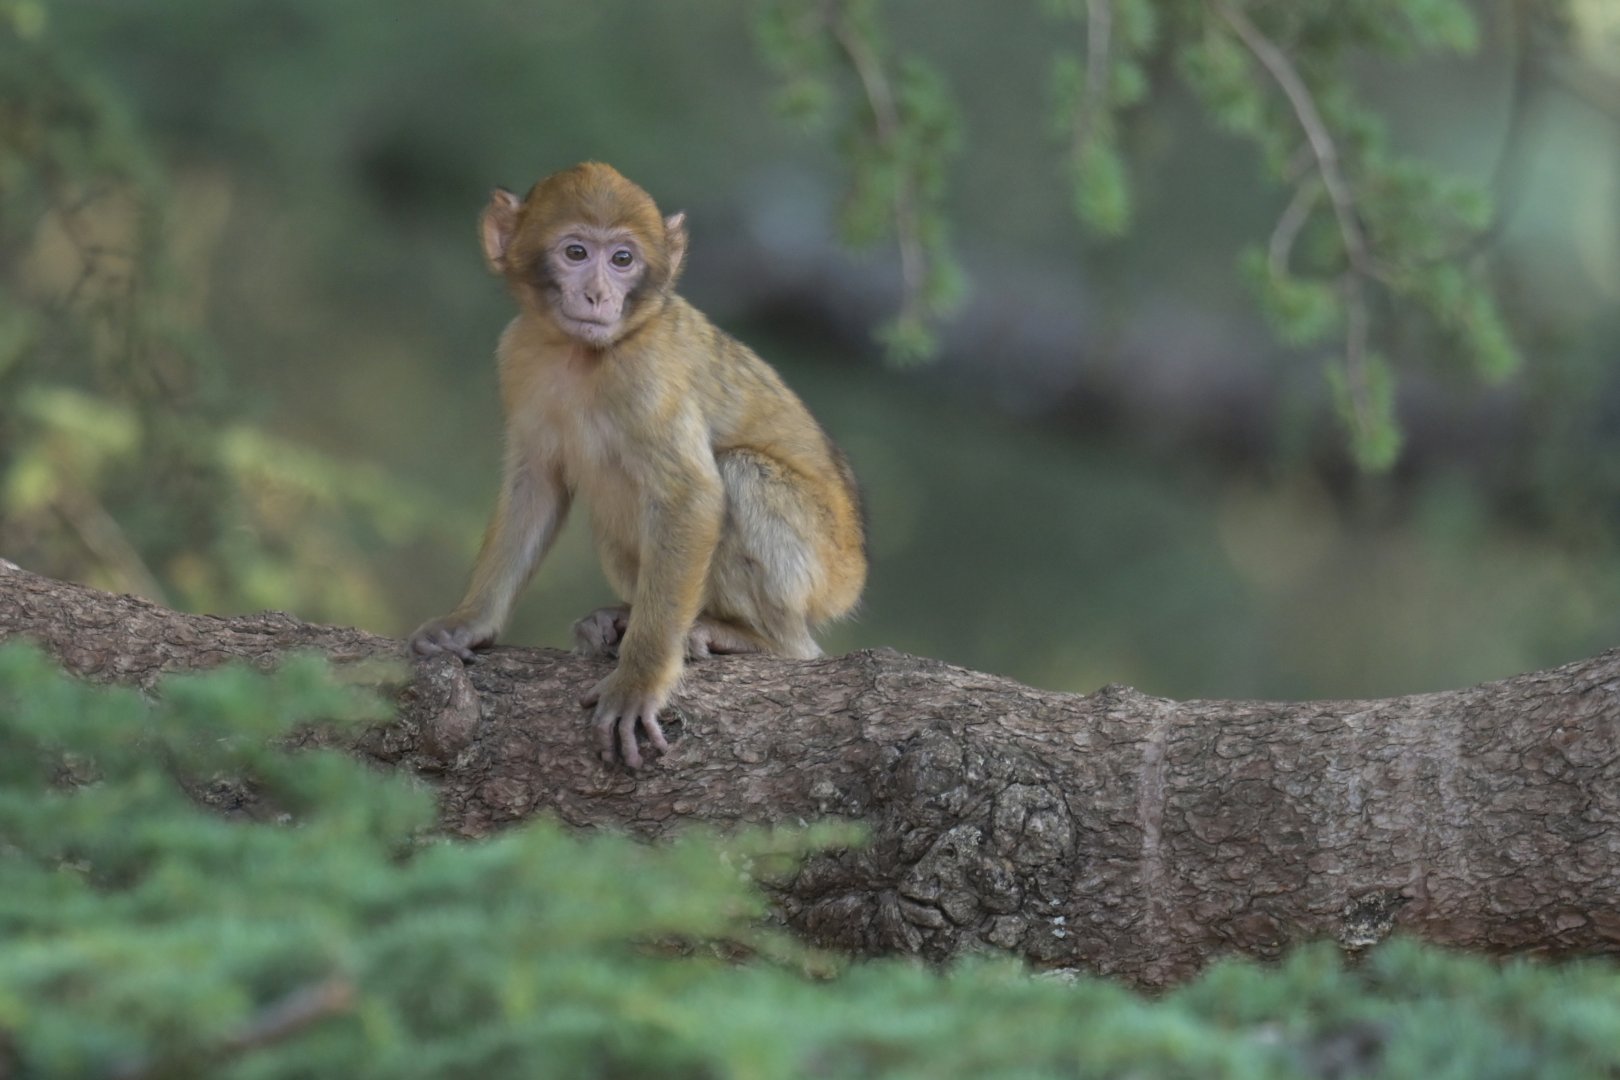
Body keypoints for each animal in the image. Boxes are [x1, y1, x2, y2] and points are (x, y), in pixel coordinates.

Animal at [410, 162, 867, 769]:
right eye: (576, 252)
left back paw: (753, 639)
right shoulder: (517, 354)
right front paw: (468, 624)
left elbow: (691, 496)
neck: (582, 355)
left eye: (623, 259)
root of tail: (851, 578)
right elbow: (537, 487)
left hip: (821, 569)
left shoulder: (647, 370)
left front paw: (639, 682)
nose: (599, 293)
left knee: (740, 477)